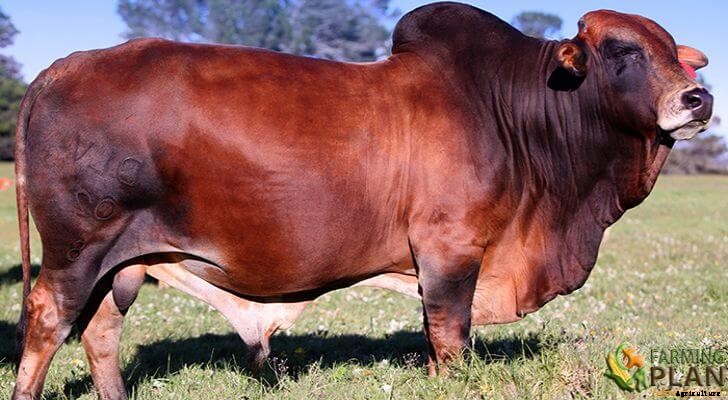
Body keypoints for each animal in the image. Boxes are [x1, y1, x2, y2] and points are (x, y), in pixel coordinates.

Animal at [12, 2, 712, 399]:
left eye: (677, 56)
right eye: (621, 51)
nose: (698, 99)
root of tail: (59, 68)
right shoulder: (450, 250)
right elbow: (450, 336)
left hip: (127, 262)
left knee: (101, 330)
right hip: (78, 248)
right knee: (48, 321)